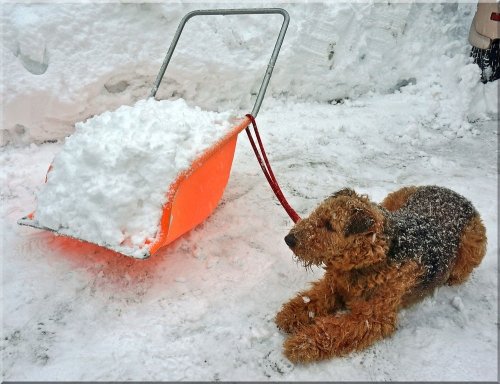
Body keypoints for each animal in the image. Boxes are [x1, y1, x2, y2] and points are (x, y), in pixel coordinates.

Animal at [276, 186, 486, 364]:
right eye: (318, 212)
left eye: (329, 225)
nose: (288, 239)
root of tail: (457, 194)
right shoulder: (334, 285)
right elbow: (312, 300)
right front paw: (289, 315)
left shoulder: (372, 318)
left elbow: (333, 330)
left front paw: (301, 343)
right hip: (394, 199)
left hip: (472, 246)